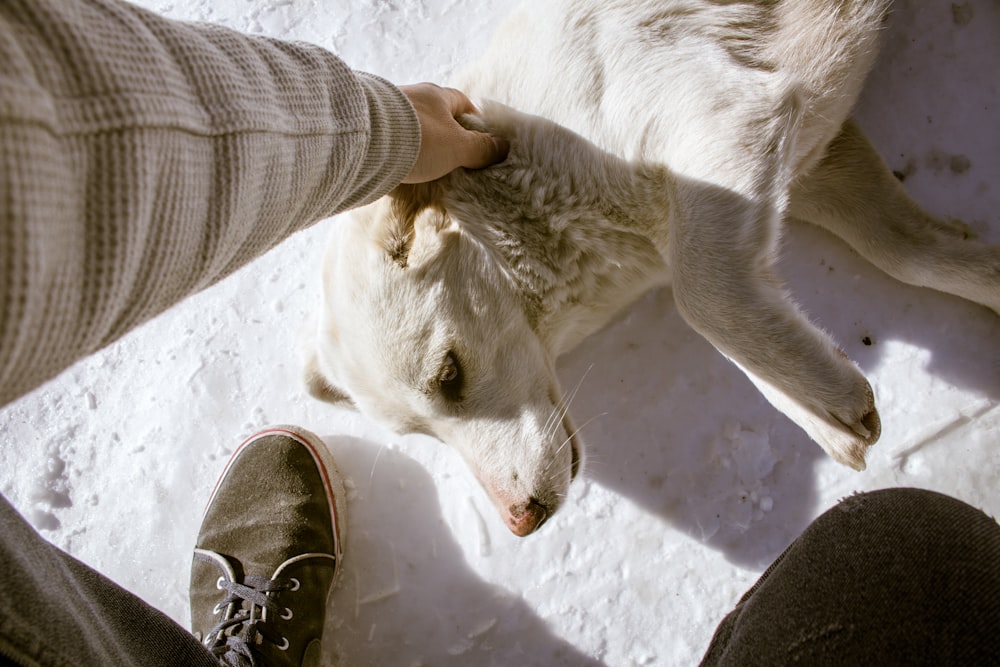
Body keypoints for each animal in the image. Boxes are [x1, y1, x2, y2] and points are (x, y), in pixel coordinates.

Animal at [304, 0, 1000, 536]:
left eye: (449, 374)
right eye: (420, 434)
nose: (520, 523)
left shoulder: (728, 122)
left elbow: (703, 297)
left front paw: (818, 404)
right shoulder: (809, 160)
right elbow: (913, 254)